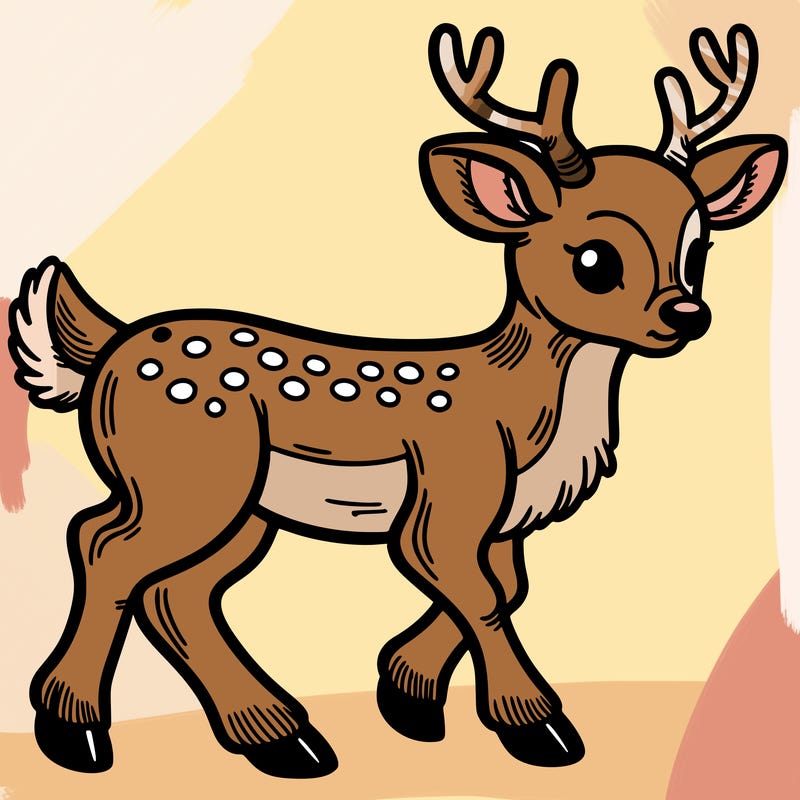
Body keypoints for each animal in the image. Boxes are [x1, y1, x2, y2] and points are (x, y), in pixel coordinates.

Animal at [7, 22, 786, 778]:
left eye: (698, 249)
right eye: (595, 258)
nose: (687, 314)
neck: (523, 410)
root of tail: (110, 346)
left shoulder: (500, 517)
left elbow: (503, 584)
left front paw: (408, 695)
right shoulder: (454, 481)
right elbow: (472, 588)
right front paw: (538, 727)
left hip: (243, 506)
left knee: (176, 591)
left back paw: (279, 738)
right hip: (190, 475)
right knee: (103, 545)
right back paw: (77, 731)